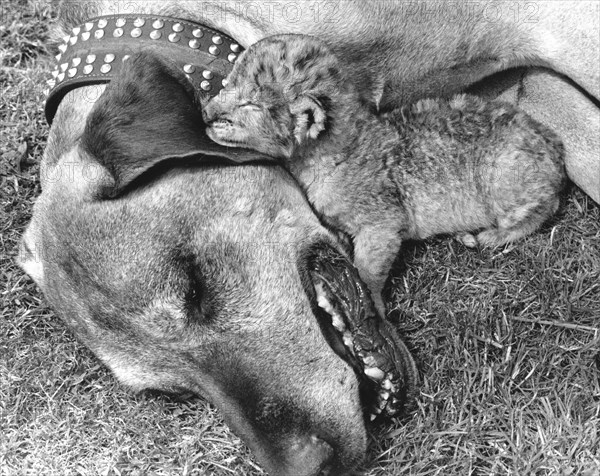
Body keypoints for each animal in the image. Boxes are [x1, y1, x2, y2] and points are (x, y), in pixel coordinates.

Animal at [203, 34, 568, 316]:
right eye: (228, 82)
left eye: (250, 104)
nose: (205, 113)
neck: (336, 149)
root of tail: (553, 146)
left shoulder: (382, 223)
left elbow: (367, 269)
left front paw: (372, 308)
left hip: (502, 177)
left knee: (543, 207)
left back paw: (489, 236)